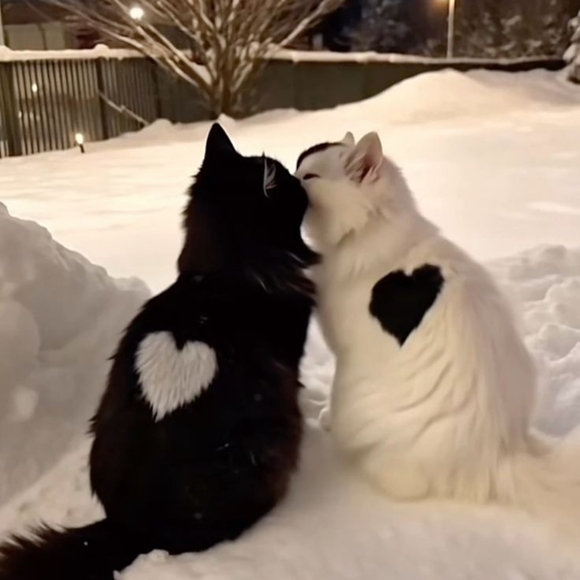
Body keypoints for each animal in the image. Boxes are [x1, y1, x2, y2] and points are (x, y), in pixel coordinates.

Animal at [295, 130, 580, 538]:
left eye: (310, 176)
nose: (287, 174)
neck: (374, 229)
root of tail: (499, 453)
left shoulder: (341, 344)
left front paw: (324, 418)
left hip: (358, 399)